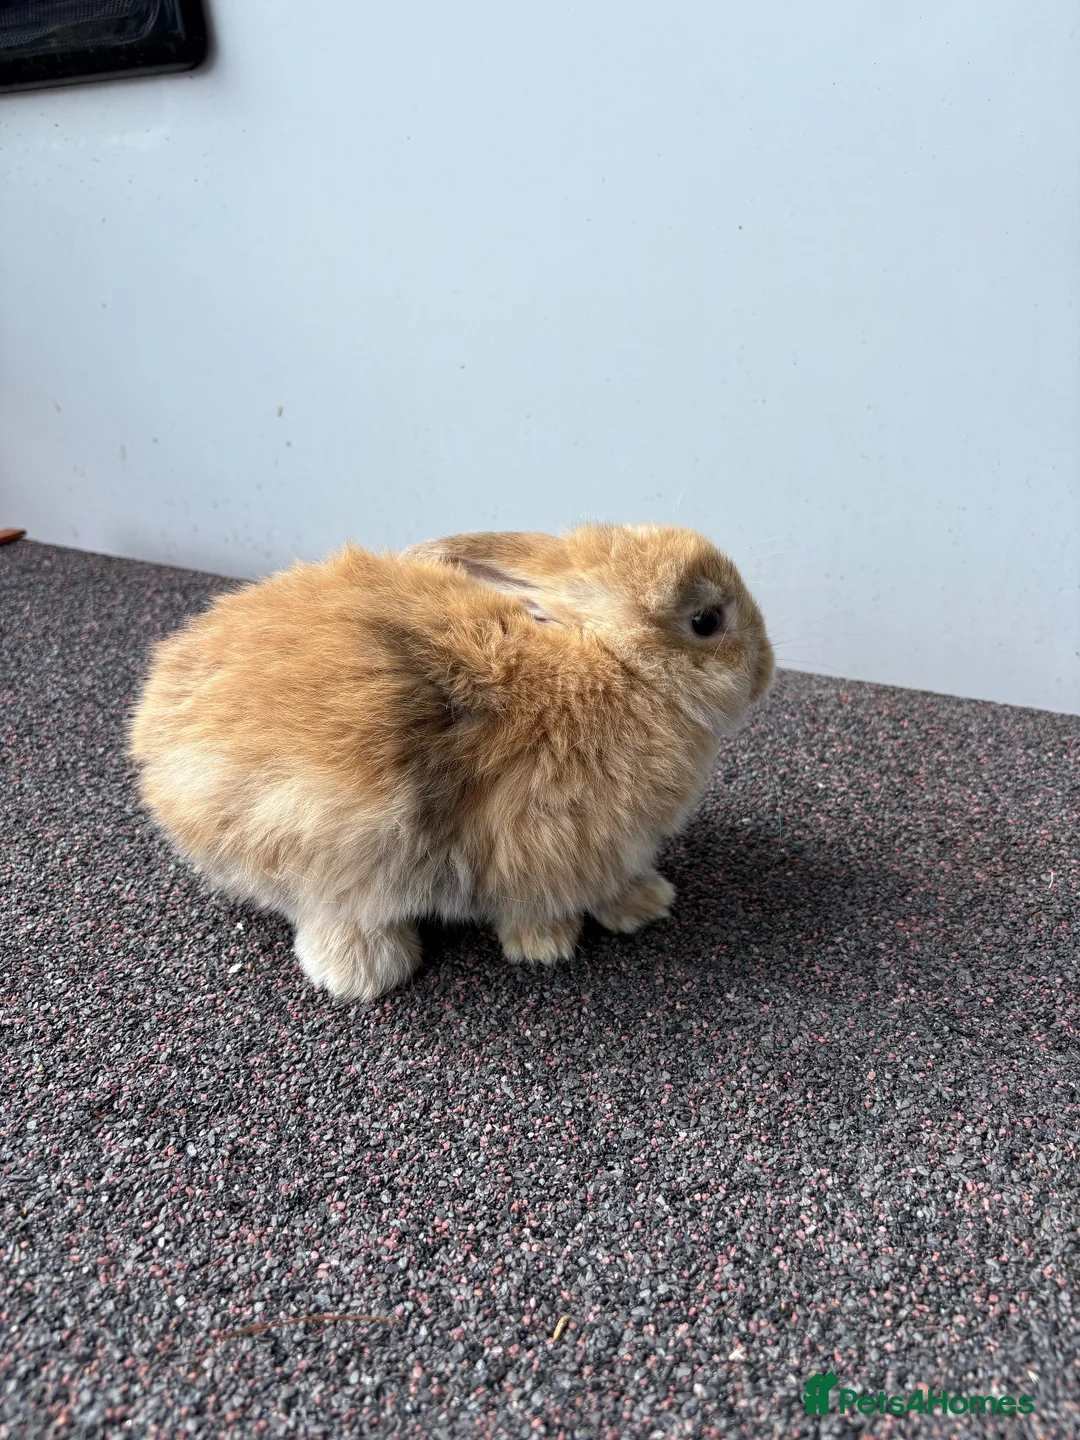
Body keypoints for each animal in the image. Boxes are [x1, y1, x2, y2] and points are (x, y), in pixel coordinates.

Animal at [129, 522, 774, 1002]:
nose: (767, 672)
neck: (619, 666)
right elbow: (541, 901)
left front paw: (646, 902)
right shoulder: (544, 839)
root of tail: (154, 742)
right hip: (318, 835)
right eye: (707, 621)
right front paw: (545, 946)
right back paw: (365, 972)